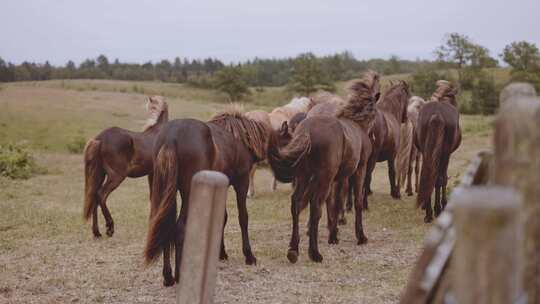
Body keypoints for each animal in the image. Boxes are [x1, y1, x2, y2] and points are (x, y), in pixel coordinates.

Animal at [81, 96, 167, 239]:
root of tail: (100, 138)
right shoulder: (156, 172)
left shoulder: (151, 173)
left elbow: (152, 197)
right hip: (117, 176)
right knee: (101, 195)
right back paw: (110, 228)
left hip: (99, 175)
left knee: (94, 197)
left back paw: (97, 232)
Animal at [144, 110, 268, 286]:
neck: (238, 137)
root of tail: (171, 137)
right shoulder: (242, 183)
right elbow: (243, 217)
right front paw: (249, 256)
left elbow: (222, 217)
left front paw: (221, 253)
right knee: (179, 227)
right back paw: (180, 275)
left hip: (164, 194)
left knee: (165, 225)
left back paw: (168, 276)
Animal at [266, 72, 378, 264]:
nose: (374, 136)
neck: (356, 125)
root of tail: (307, 130)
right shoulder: (358, 170)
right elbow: (353, 201)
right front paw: (360, 236)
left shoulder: (338, 178)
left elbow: (335, 203)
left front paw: (334, 234)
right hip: (323, 177)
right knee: (315, 206)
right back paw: (314, 253)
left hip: (304, 176)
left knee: (296, 202)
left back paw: (293, 250)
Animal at [414, 80, 460, 223]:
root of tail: (437, 114)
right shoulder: (447, 155)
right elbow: (442, 179)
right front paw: (441, 206)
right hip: (445, 154)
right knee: (440, 178)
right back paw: (438, 209)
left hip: (427, 152)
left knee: (429, 174)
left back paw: (428, 213)